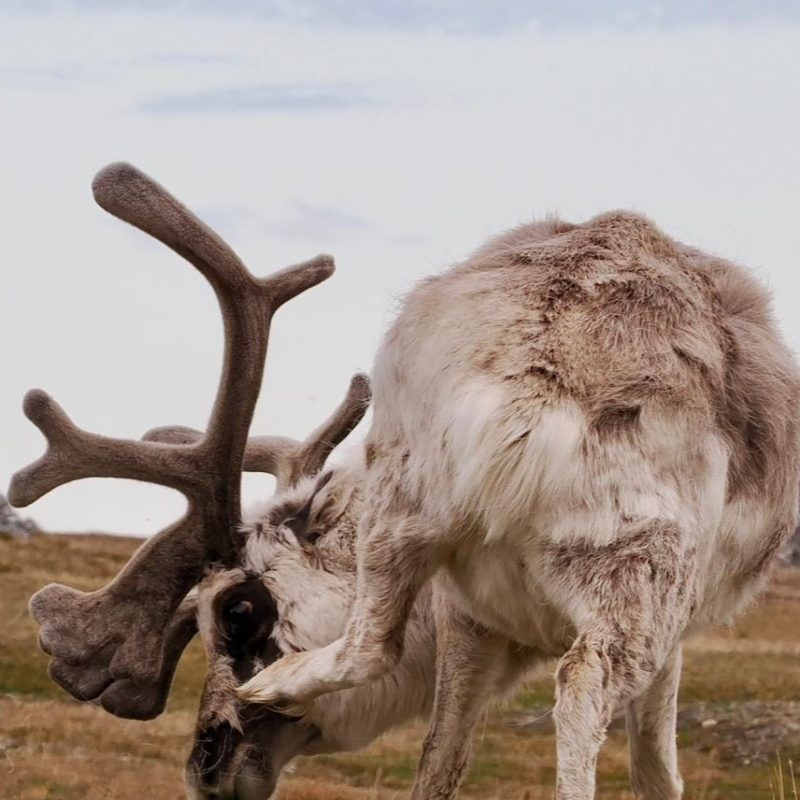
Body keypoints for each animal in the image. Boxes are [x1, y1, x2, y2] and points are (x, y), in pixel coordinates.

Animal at [10, 163, 800, 800]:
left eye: (237, 611)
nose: (205, 766)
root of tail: (534, 372)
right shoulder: (642, 638)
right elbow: (655, 773)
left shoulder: (470, 623)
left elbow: (439, 762)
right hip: (638, 575)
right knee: (574, 688)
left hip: (409, 505)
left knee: (376, 643)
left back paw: (277, 680)